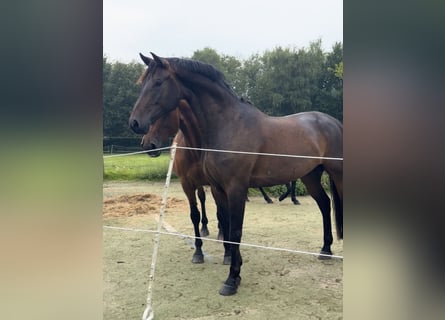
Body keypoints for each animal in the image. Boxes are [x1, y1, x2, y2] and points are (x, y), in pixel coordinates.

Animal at [129, 53, 344, 296]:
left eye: (158, 82)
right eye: (142, 83)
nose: (135, 123)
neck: (229, 124)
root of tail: (334, 122)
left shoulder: (236, 188)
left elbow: (235, 231)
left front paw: (231, 280)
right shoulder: (218, 188)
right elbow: (226, 226)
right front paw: (234, 267)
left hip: (337, 174)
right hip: (310, 176)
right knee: (325, 204)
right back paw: (325, 249)